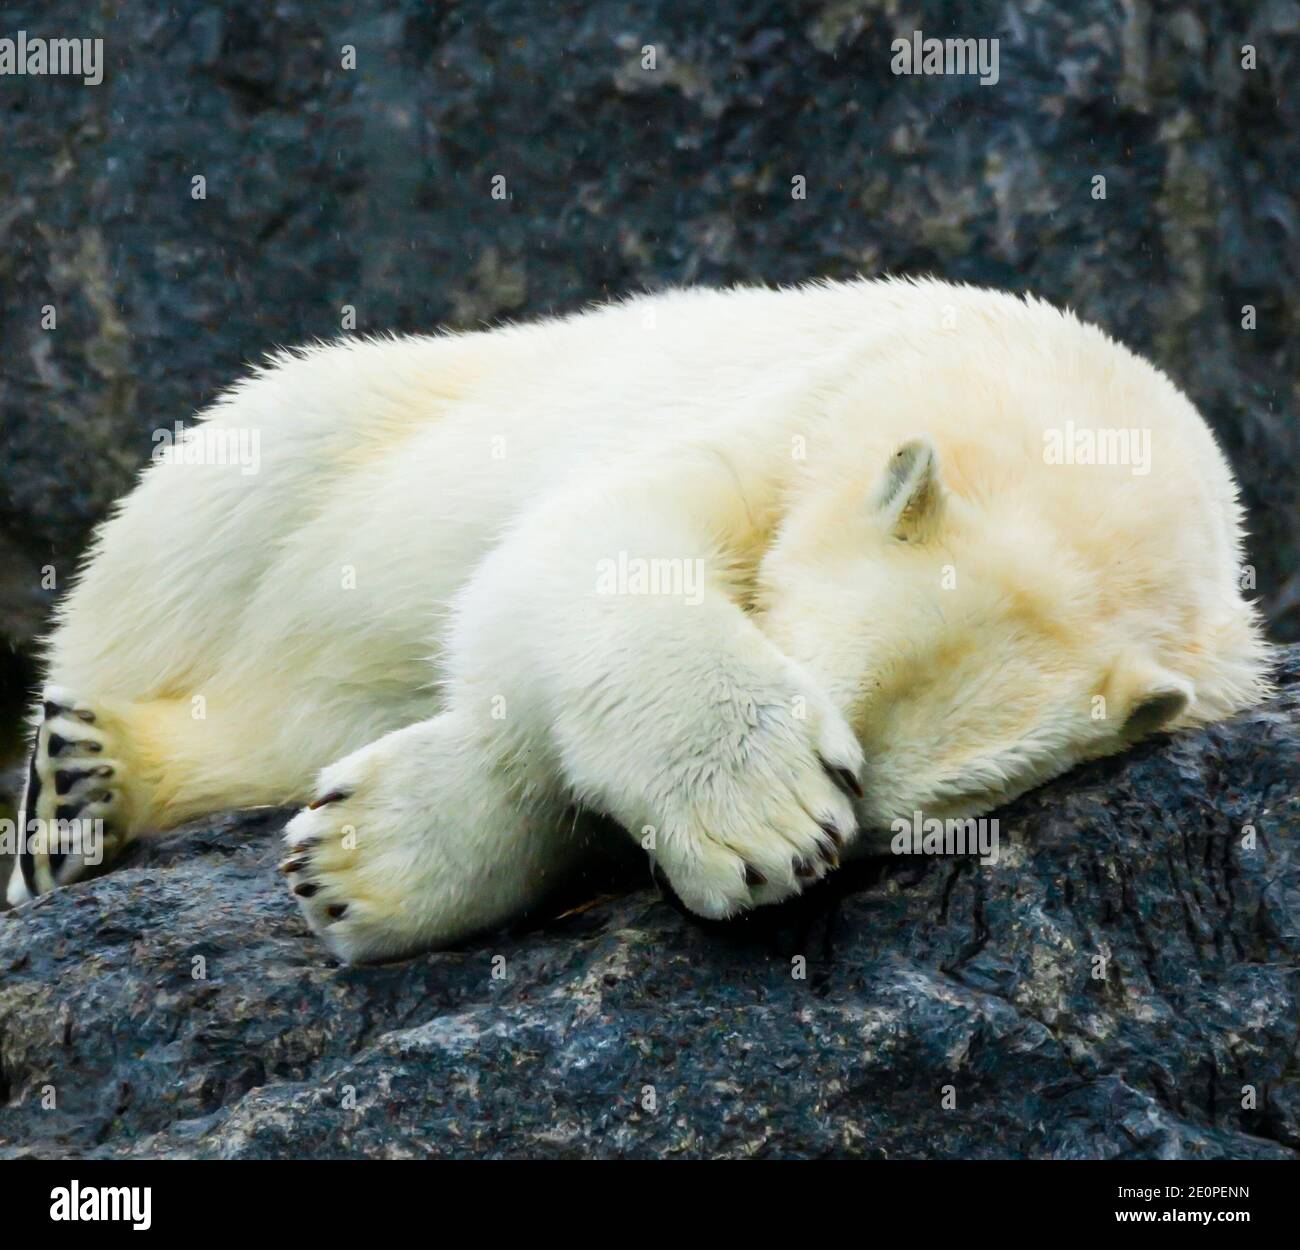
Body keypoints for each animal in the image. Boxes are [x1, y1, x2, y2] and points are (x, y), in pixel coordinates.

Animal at [10, 278, 1268, 961]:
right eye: (824, 725)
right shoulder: (805, 406)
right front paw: (760, 811)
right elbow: (582, 556)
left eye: (876, 824)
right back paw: (70, 793)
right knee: (188, 540)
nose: (819, 831)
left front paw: (359, 858)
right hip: (323, 435)